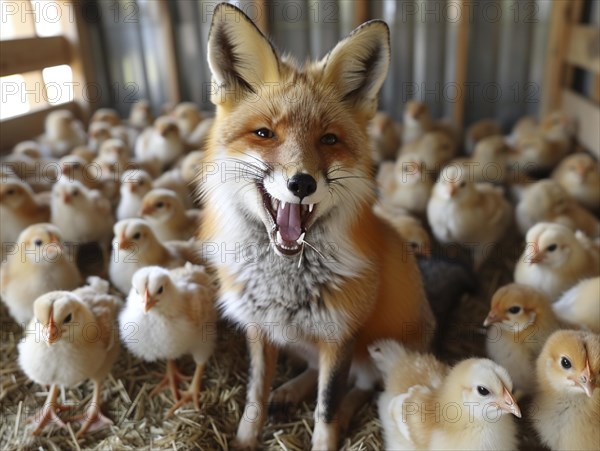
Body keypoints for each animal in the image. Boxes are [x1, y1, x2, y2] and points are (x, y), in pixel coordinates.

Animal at [200, 4, 436, 451]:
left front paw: (329, 434)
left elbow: (326, 407)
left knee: (364, 389)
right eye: (264, 133)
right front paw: (245, 438)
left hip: (370, 351)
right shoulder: (260, 330)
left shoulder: (339, 336)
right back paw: (289, 391)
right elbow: (254, 394)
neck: (284, 285)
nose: (302, 183)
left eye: (328, 139)